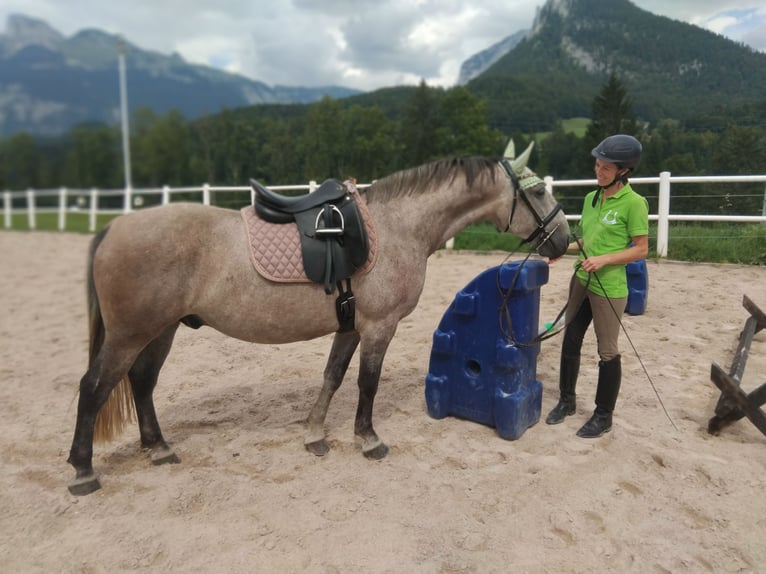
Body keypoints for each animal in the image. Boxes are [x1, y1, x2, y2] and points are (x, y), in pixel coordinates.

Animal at [66, 146, 568, 498]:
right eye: (538, 191)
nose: (564, 239)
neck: (398, 227)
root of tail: (114, 227)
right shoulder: (379, 327)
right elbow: (367, 383)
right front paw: (367, 440)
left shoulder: (349, 326)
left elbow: (332, 376)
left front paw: (314, 436)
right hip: (130, 334)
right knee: (94, 388)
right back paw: (83, 471)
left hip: (161, 330)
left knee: (142, 382)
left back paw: (159, 448)